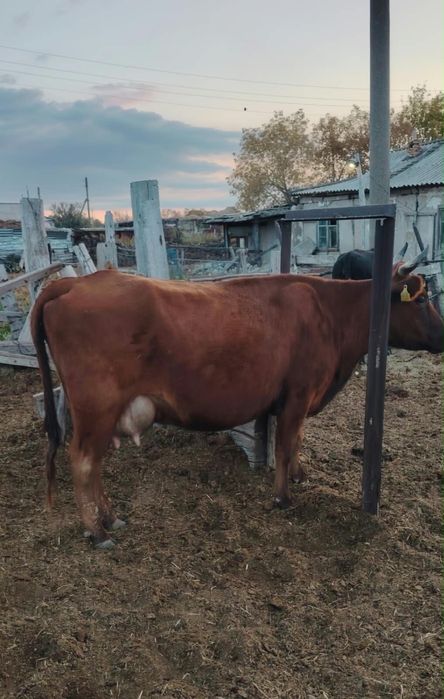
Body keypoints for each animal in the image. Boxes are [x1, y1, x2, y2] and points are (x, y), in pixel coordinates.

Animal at [31, 254, 443, 549]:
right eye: (422, 299)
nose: (443, 336)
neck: (329, 312)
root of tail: (74, 282)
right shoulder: (297, 394)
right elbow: (286, 444)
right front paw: (283, 496)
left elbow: (297, 442)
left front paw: (300, 476)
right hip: (96, 407)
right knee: (83, 462)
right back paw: (97, 532)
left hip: (100, 414)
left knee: (95, 464)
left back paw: (110, 518)